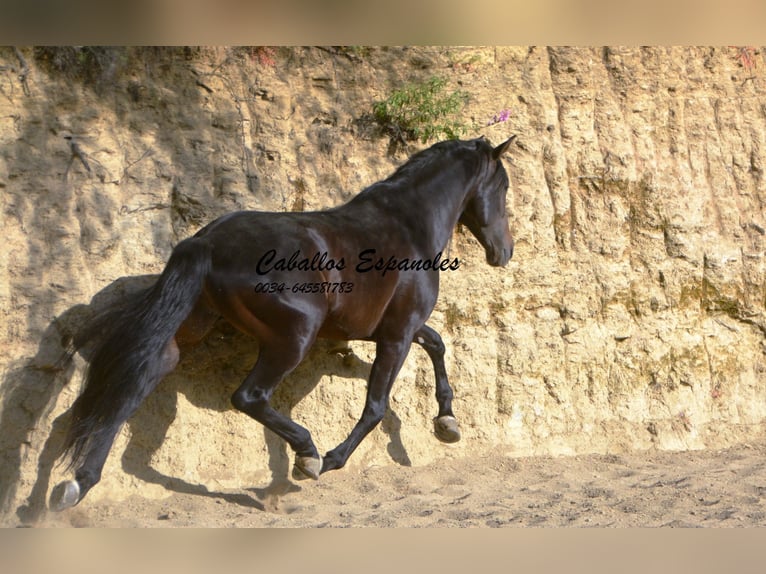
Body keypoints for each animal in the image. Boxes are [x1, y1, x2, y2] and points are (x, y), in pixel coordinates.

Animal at [51, 136, 520, 512]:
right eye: (503, 187)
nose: (505, 252)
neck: (408, 226)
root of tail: (209, 242)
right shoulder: (397, 334)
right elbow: (376, 405)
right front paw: (330, 460)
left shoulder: (393, 329)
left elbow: (437, 344)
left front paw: (447, 424)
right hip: (294, 338)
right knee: (248, 397)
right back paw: (308, 454)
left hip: (184, 335)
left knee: (132, 389)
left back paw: (75, 485)